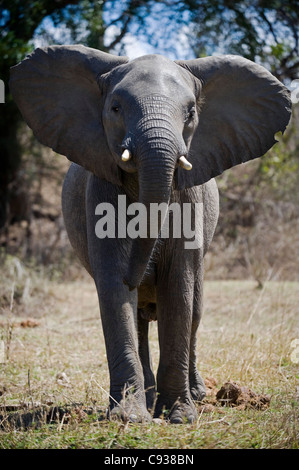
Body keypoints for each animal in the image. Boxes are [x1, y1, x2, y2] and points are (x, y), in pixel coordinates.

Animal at [9, 46, 292, 424]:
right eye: (115, 108)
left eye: (190, 113)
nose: (140, 273)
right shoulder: (101, 191)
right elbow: (114, 286)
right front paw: (129, 417)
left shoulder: (189, 198)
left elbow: (179, 286)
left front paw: (180, 416)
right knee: (141, 319)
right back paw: (147, 395)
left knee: (195, 309)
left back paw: (196, 394)